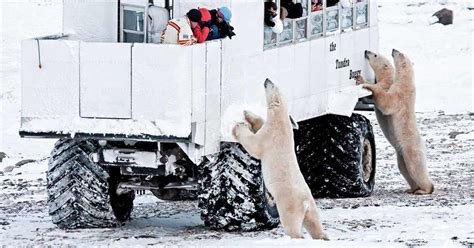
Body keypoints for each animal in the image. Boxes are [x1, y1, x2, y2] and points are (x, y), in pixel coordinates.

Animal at [231, 78, 328, 239]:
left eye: (273, 85)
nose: (267, 79)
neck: (281, 121)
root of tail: (305, 202)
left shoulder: (271, 135)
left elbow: (254, 145)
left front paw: (239, 126)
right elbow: (260, 123)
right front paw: (247, 113)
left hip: (289, 204)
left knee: (292, 225)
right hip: (312, 207)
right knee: (315, 224)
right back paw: (323, 237)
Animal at [358, 49, 436, 195]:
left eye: (375, 55)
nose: (366, 51)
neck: (405, 81)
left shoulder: (399, 93)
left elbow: (386, 102)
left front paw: (365, 83)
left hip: (410, 149)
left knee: (415, 168)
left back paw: (424, 190)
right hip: (401, 155)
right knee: (404, 169)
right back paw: (412, 188)